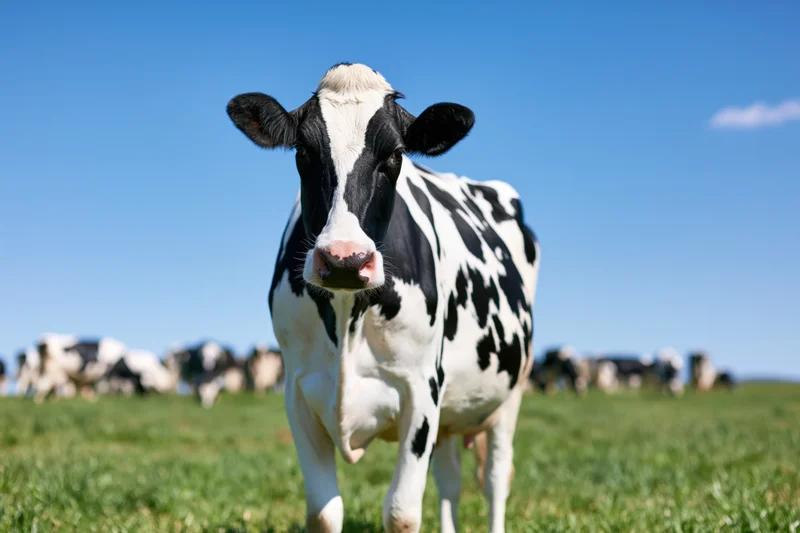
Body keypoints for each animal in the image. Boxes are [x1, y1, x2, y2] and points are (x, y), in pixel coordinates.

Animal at [227, 62, 539, 533]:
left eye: (394, 155)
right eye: (303, 151)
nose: (344, 259)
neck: (347, 317)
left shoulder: (421, 389)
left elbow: (402, 512)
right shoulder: (297, 391)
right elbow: (324, 512)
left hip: (511, 391)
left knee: (495, 480)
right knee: (451, 482)